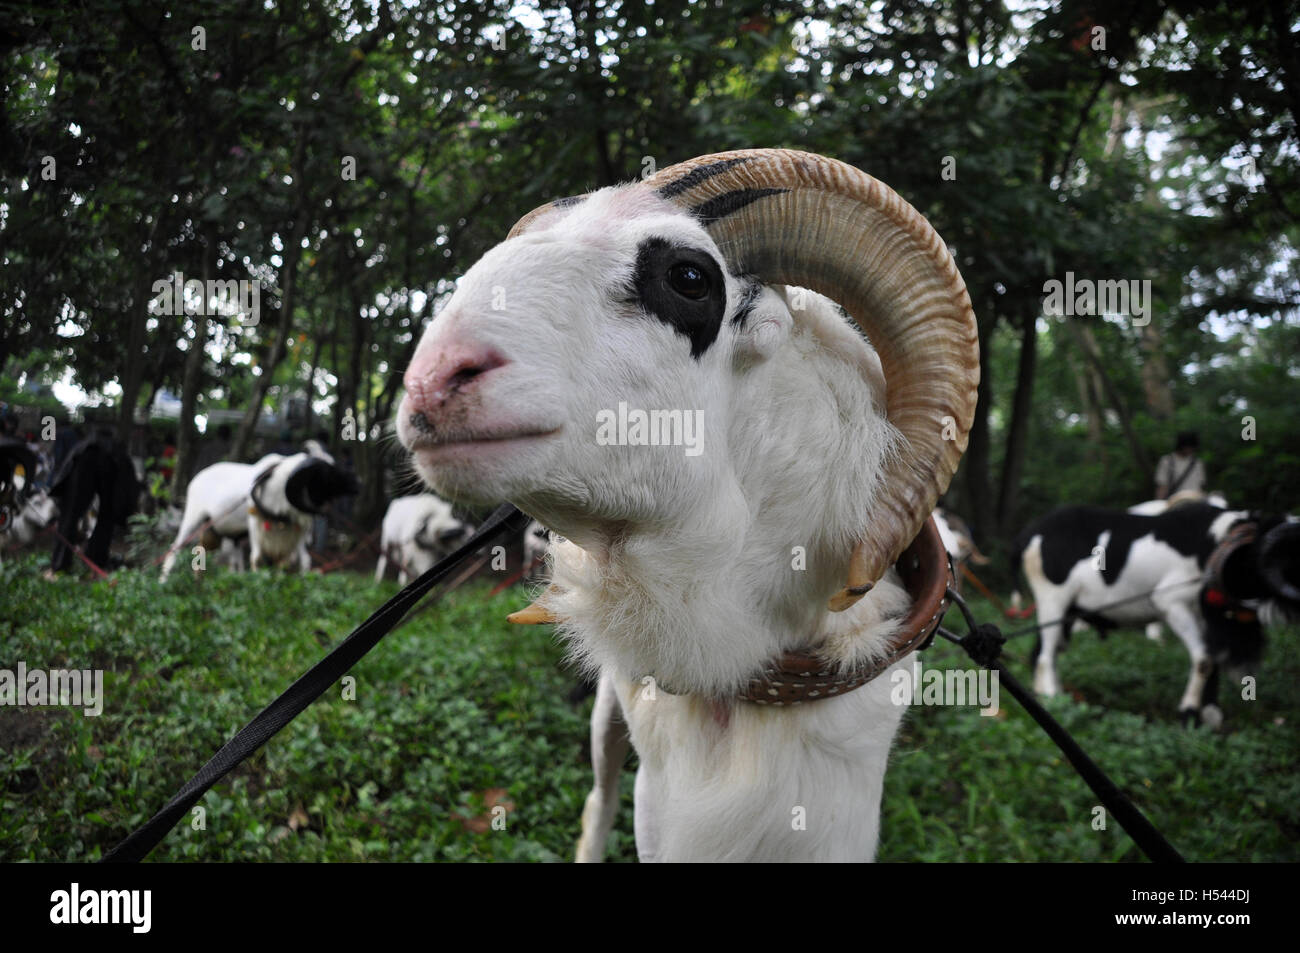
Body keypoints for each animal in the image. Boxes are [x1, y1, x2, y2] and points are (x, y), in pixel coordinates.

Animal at [159, 439, 358, 579]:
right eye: (325, 474)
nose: (356, 482)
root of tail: (197, 478)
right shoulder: (255, 522)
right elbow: (257, 558)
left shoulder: (298, 529)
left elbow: (300, 560)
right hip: (193, 517)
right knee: (174, 548)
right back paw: (163, 580)